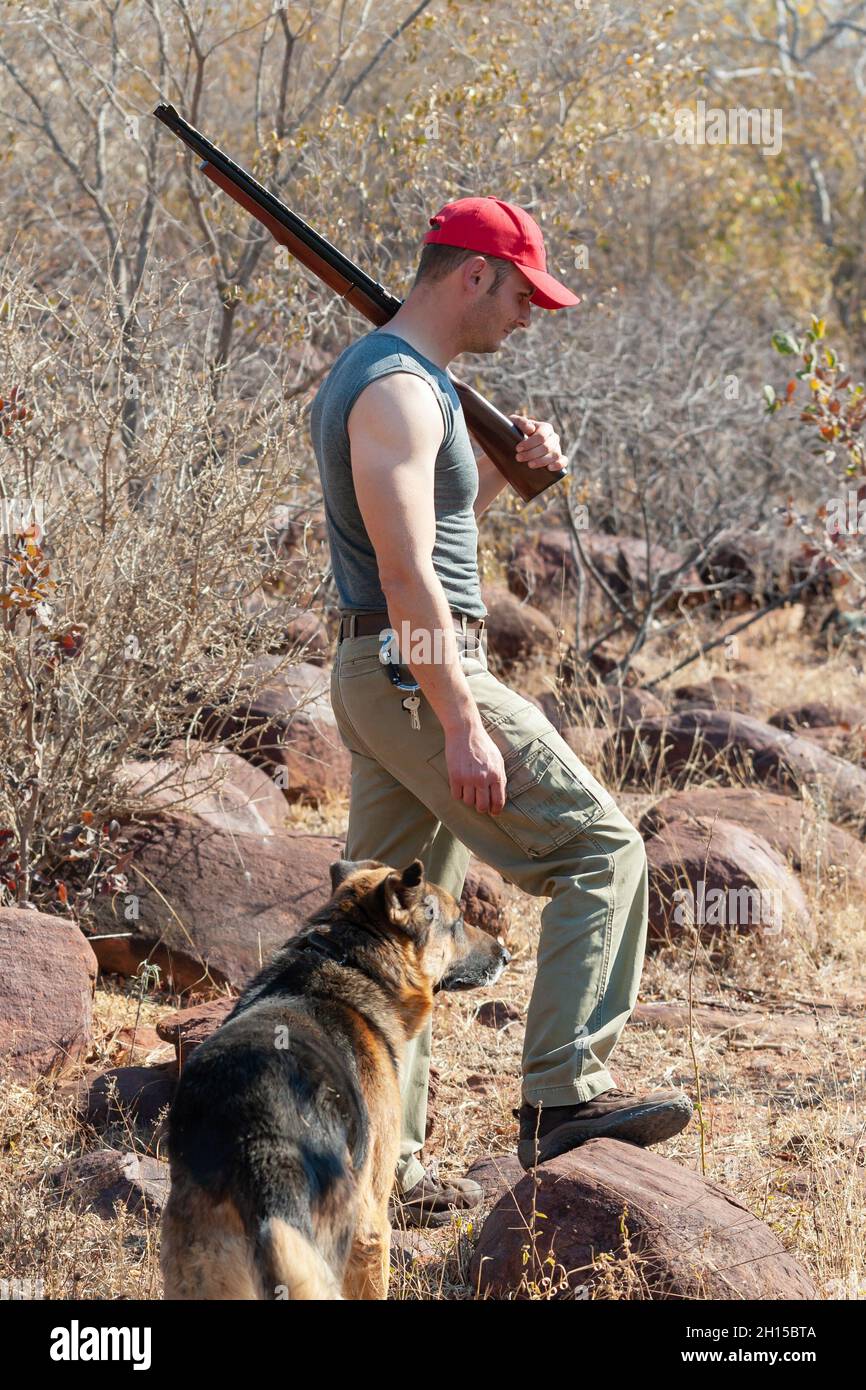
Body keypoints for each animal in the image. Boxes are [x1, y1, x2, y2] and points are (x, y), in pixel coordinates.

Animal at [161, 850, 508, 1295]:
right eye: (460, 920)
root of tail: (259, 1145)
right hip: (346, 1242)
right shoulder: (371, 1215)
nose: (505, 955)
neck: (349, 959)